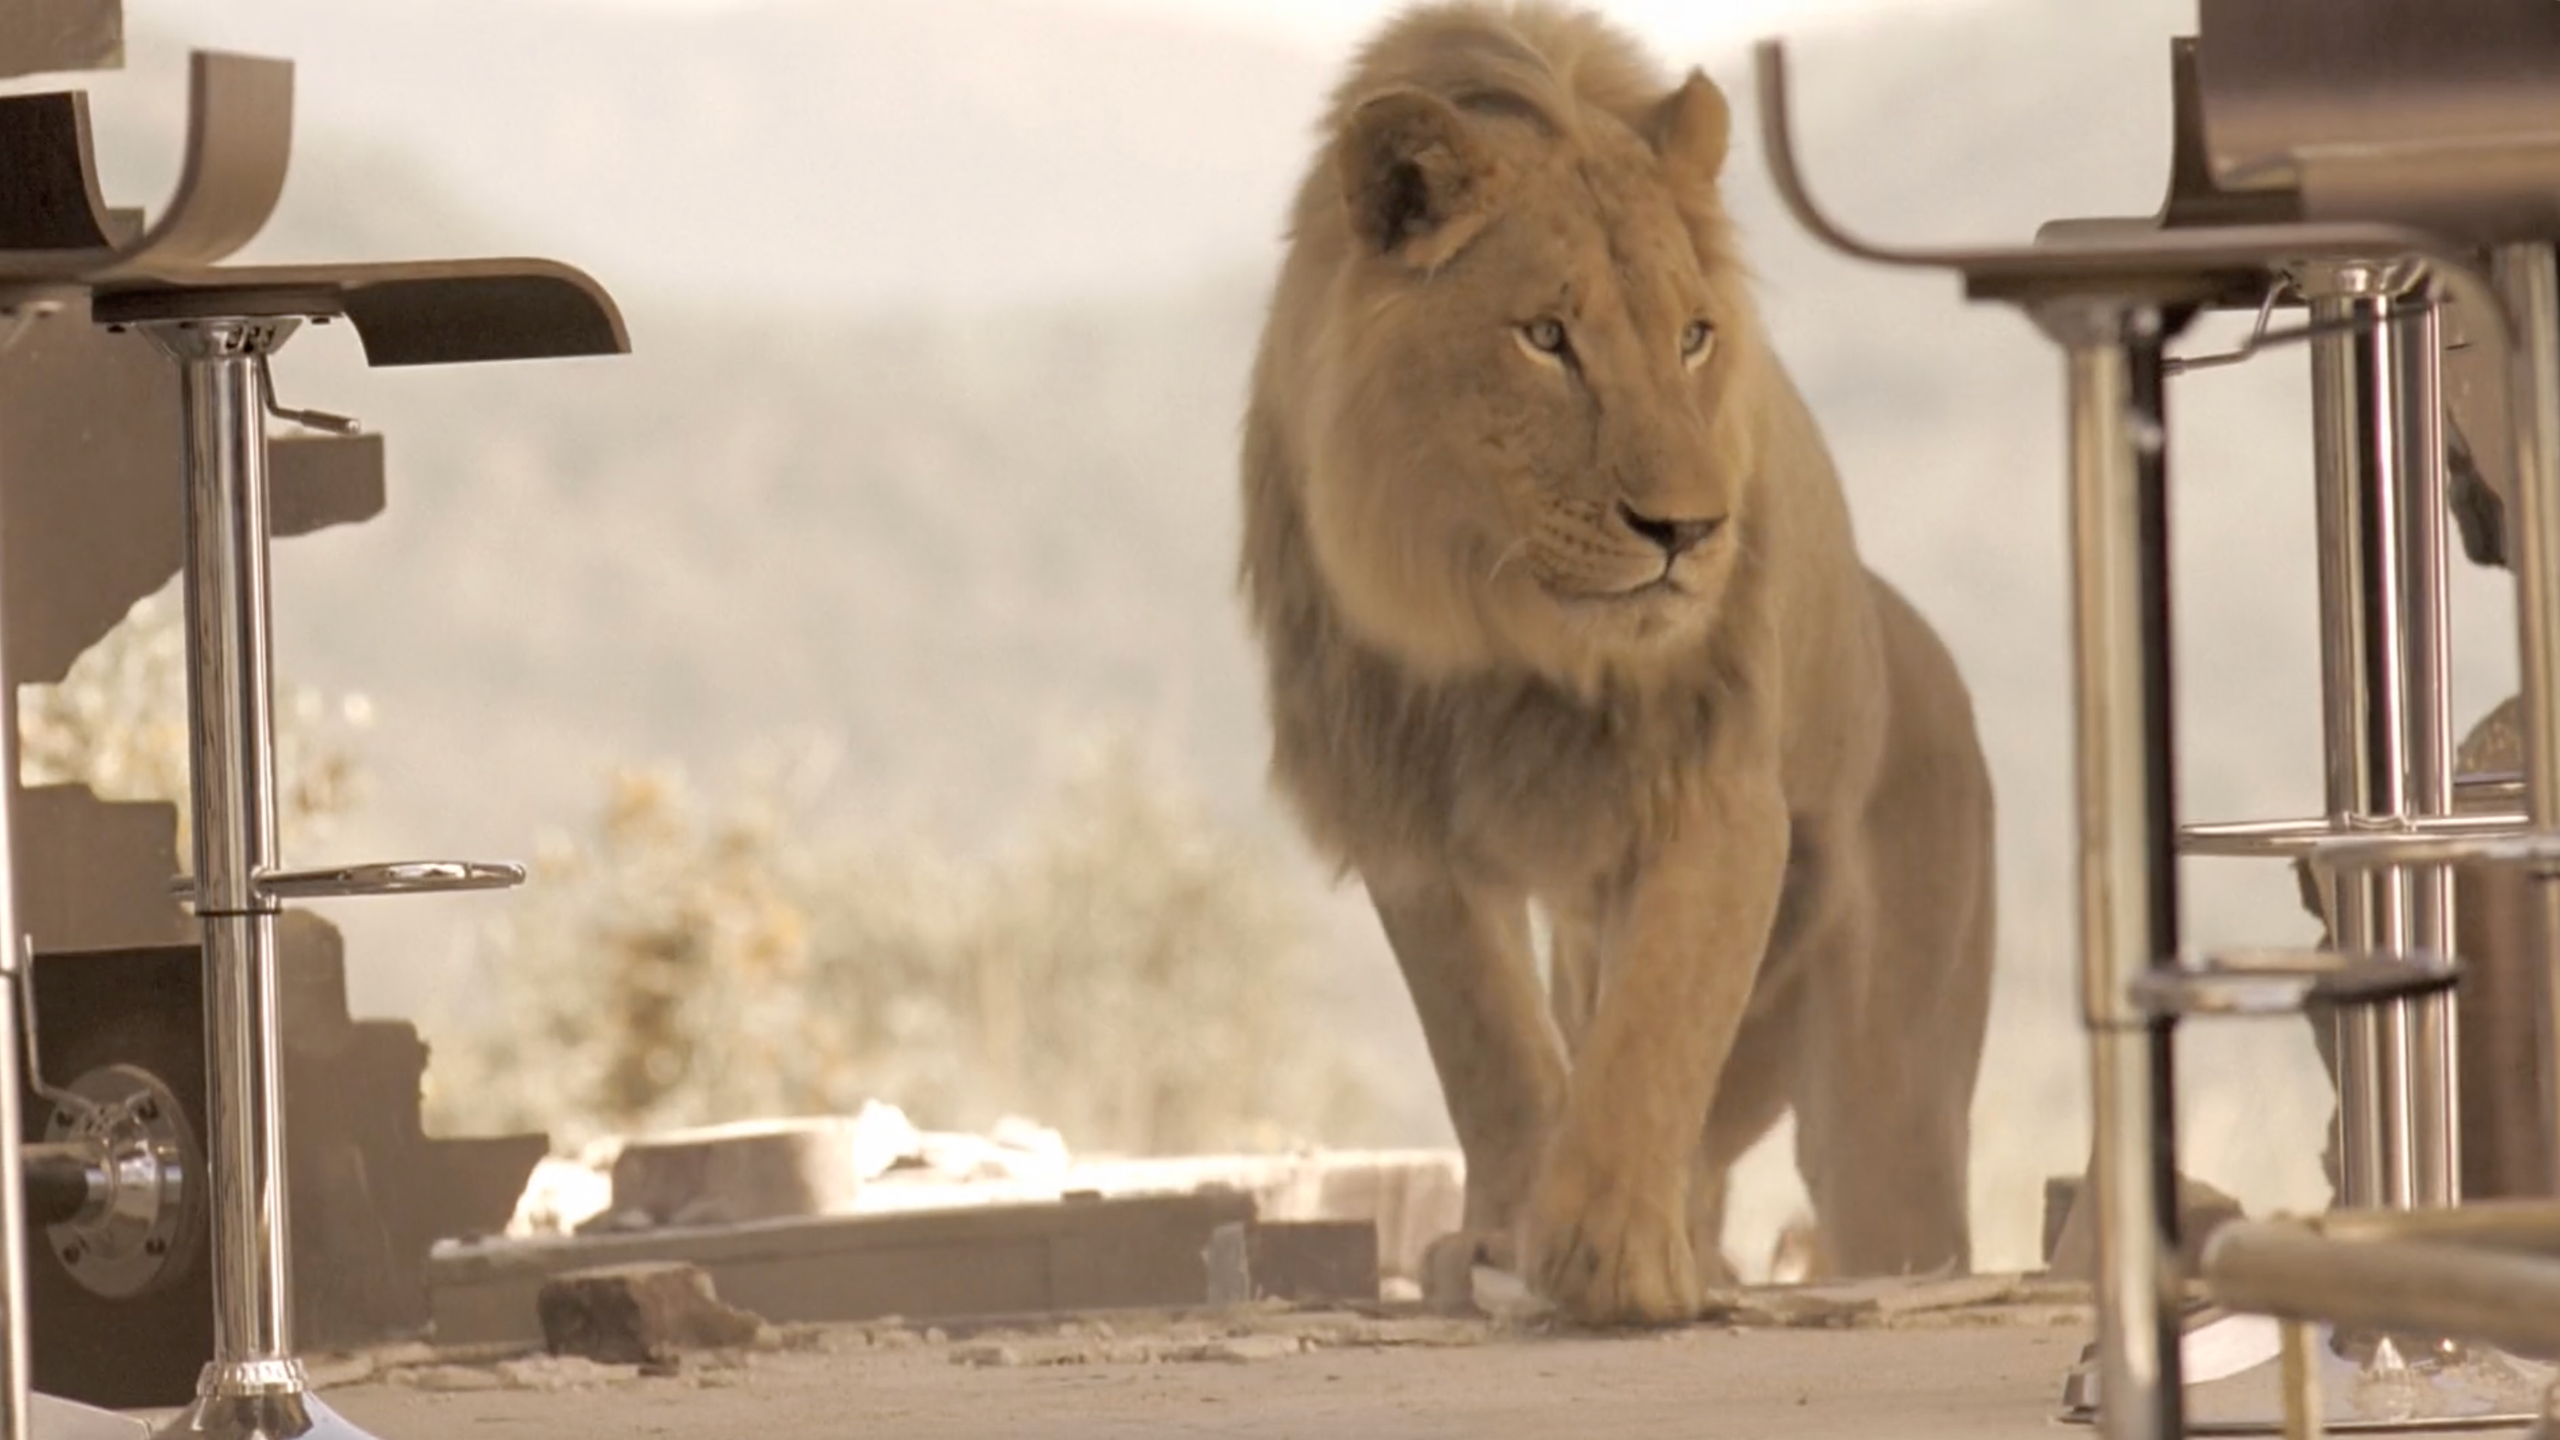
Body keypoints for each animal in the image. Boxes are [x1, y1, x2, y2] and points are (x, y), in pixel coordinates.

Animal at [1236, 0, 1998, 1327]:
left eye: (1692, 338)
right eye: (1546, 338)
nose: (1685, 531)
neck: (1499, 637)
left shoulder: (1716, 783)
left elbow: (1656, 1030)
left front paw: (1616, 1258)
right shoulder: (1404, 804)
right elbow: (1487, 1044)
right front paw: (1507, 1235)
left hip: (1888, 1107)